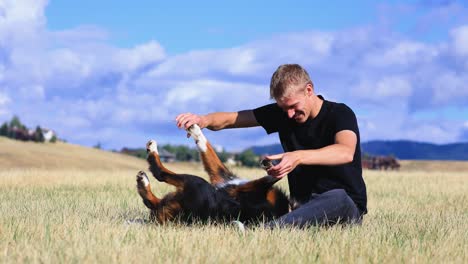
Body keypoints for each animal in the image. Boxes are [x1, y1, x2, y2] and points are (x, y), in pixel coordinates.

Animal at [133, 124, 290, 225]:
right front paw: (196, 130)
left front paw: (273, 166)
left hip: (195, 182)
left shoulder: (237, 186)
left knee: (160, 174)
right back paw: (143, 181)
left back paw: (151, 154)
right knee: (152, 201)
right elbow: (208, 149)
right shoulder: (222, 176)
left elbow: (277, 176)